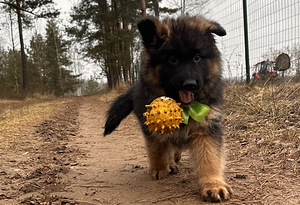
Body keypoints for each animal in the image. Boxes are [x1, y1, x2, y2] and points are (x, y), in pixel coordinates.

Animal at [104, 16, 233, 202]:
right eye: (172, 59)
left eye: (197, 57)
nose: (190, 84)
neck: (185, 108)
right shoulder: (150, 126)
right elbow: (157, 148)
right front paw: (159, 168)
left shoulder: (206, 127)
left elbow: (210, 157)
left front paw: (213, 184)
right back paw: (170, 163)